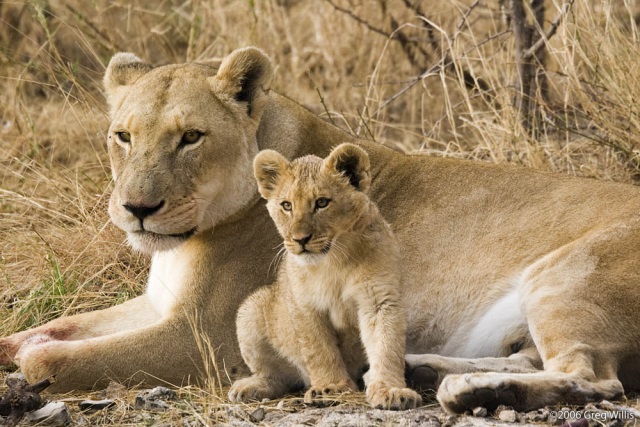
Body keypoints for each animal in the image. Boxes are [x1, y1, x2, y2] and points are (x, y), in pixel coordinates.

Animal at [228, 144, 422, 410]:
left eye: (321, 203)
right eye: (286, 205)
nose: (300, 239)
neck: (335, 259)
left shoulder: (380, 299)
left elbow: (386, 346)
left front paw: (390, 390)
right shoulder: (304, 306)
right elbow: (319, 350)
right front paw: (331, 387)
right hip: (251, 309)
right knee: (279, 377)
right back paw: (250, 387)